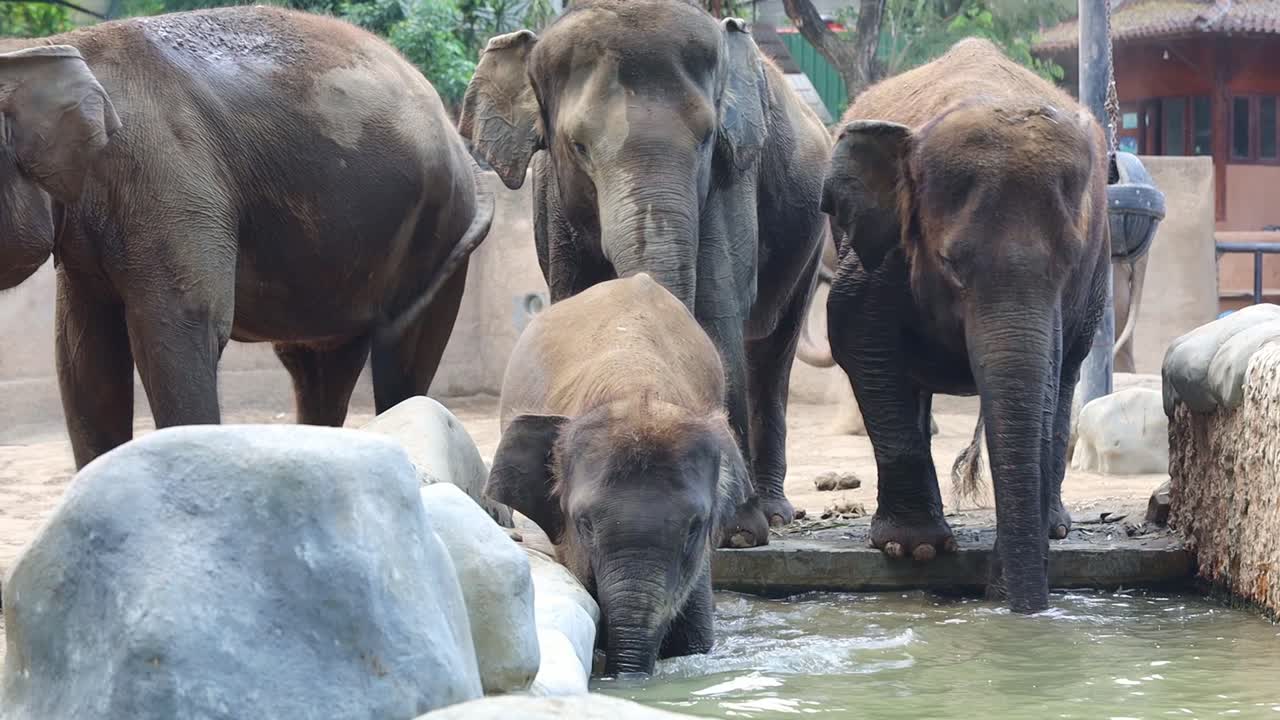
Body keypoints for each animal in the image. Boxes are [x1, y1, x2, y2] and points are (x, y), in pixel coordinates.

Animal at [0, 6, 492, 469]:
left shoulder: (168, 177)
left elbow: (181, 329)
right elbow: (85, 357)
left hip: (441, 229)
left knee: (401, 355)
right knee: (318, 363)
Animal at [459, 0, 831, 546]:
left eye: (707, 138)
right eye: (578, 146)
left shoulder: (731, 178)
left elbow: (717, 310)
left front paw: (737, 531)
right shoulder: (552, 198)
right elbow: (577, 300)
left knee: (772, 353)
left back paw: (775, 512)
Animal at [819, 38, 1109, 613]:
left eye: (1069, 265)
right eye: (951, 263)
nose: (1010, 602)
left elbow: (1048, 377)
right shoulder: (883, 250)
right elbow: (856, 336)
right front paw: (915, 550)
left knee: (1068, 373)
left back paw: (1057, 528)